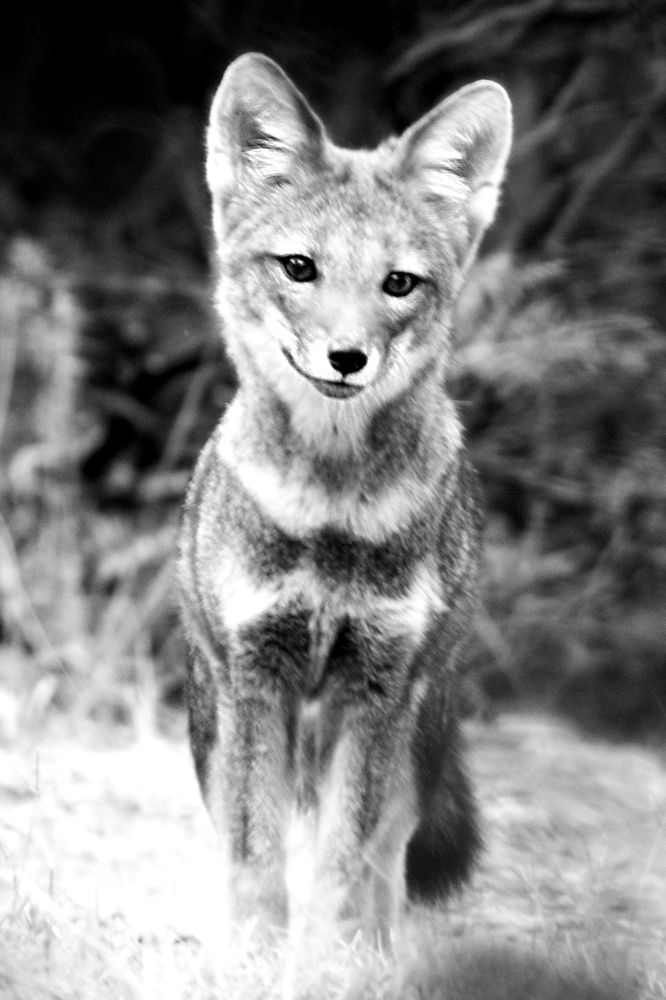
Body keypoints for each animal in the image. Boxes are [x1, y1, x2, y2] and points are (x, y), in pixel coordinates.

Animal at [178, 52, 512, 951]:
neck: (330, 515)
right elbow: (256, 858)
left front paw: (336, 959)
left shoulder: (377, 688)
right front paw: (255, 958)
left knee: (386, 859)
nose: (347, 357)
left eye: (399, 283)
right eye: (300, 267)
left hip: (409, 731)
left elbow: (344, 862)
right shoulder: (255, 680)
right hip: (218, 716)